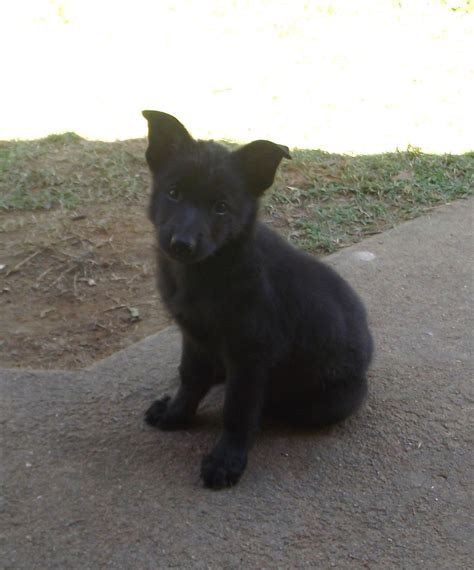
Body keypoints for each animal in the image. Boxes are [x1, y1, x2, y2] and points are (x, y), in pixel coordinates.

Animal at [143, 112, 372, 488]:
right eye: (173, 193)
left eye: (221, 208)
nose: (182, 244)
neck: (210, 271)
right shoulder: (193, 337)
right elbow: (189, 379)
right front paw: (176, 414)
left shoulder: (251, 356)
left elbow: (237, 410)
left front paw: (227, 459)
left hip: (330, 400)